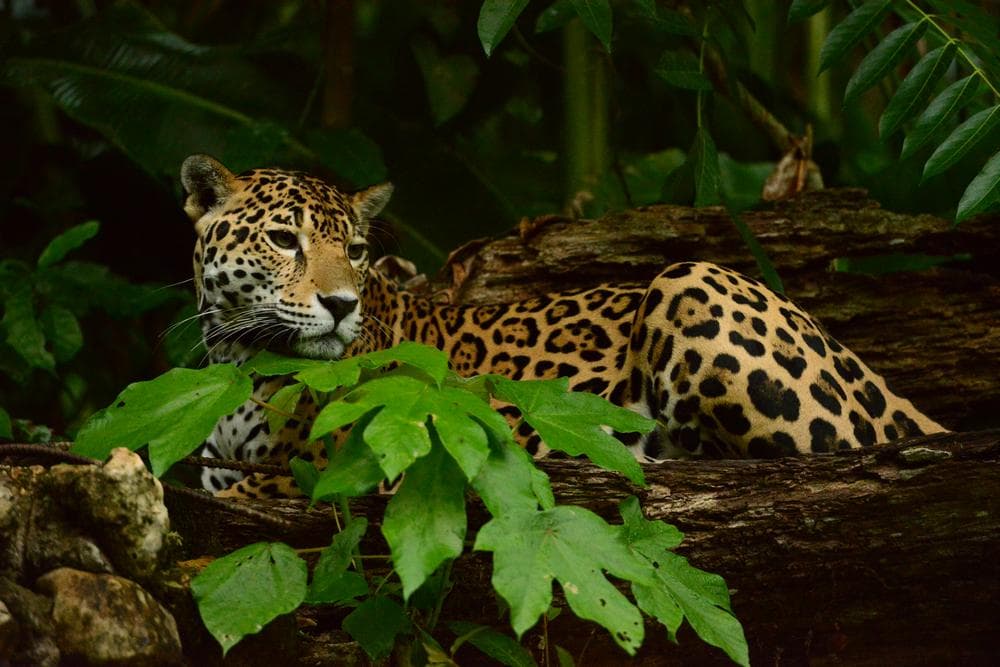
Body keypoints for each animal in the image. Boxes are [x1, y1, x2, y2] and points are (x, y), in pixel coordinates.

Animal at [179, 154, 946, 498]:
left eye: (357, 252)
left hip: (688, 278)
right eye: (285, 240)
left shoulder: (320, 474)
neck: (239, 362)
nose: (341, 304)